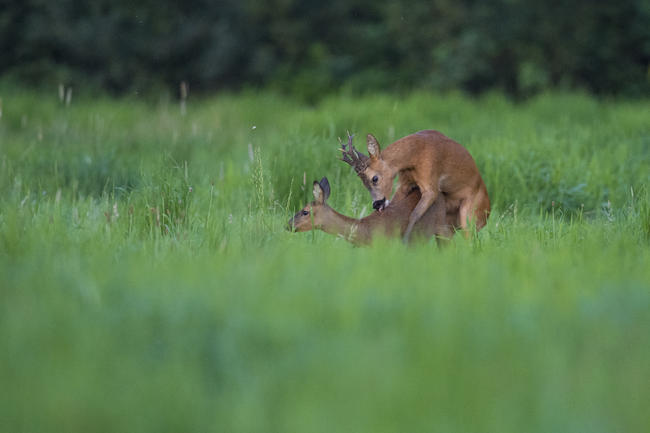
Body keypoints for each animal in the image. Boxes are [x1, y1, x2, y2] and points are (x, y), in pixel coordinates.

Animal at [340, 130, 486, 241]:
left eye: (374, 178)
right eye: (362, 182)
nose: (376, 204)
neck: (414, 156)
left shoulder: (431, 184)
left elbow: (414, 215)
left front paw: (405, 240)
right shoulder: (404, 183)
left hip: (470, 215)